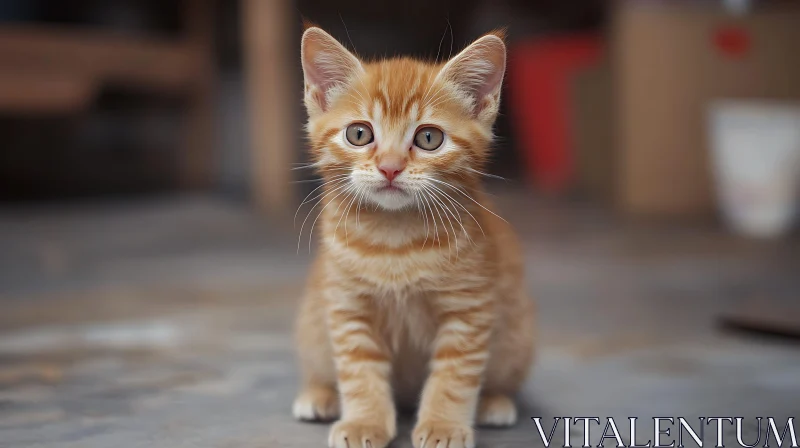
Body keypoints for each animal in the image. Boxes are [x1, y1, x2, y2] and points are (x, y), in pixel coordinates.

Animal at [290, 27, 536, 448]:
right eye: (359, 134)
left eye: (428, 138)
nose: (390, 167)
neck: (395, 239)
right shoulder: (347, 306)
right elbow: (358, 371)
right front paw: (365, 421)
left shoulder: (469, 309)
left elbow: (454, 375)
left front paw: (443, 426)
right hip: (313, 325)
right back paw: (320, 394)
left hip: (517, 332)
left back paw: (495, 401)